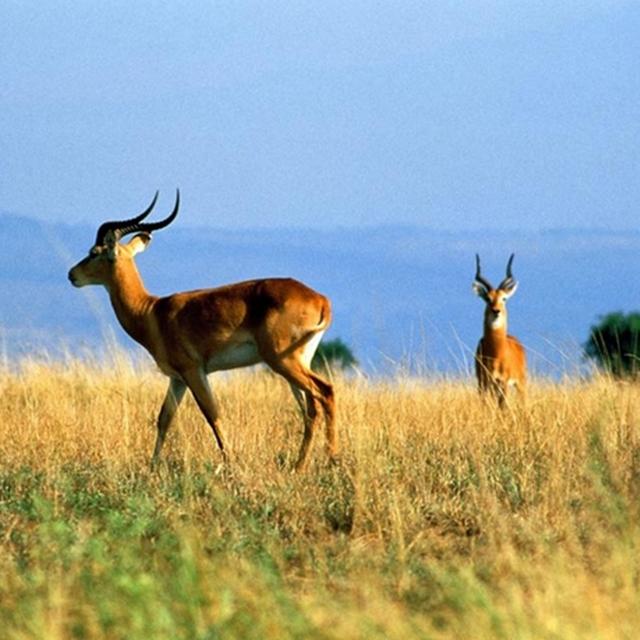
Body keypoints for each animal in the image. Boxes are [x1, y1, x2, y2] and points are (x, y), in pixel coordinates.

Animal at [68, 190, 338, 470]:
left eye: (94, 251)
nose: (72, 274)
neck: (151, 311)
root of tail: (321, 300)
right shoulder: (177, 378)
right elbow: (164, 418)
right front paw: (153, 466)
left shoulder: (194, 371)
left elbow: (212, 414)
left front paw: (229, 463)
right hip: (295, 363)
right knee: (310, 408)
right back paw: (299, 465)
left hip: (283, 361)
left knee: (325, 392)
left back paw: (331, 459)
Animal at [472, 254, 528, 404]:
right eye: (487, 298)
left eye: (504, 298)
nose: (496, 311)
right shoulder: (482, 383)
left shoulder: (504, 383)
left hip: (520, 383)